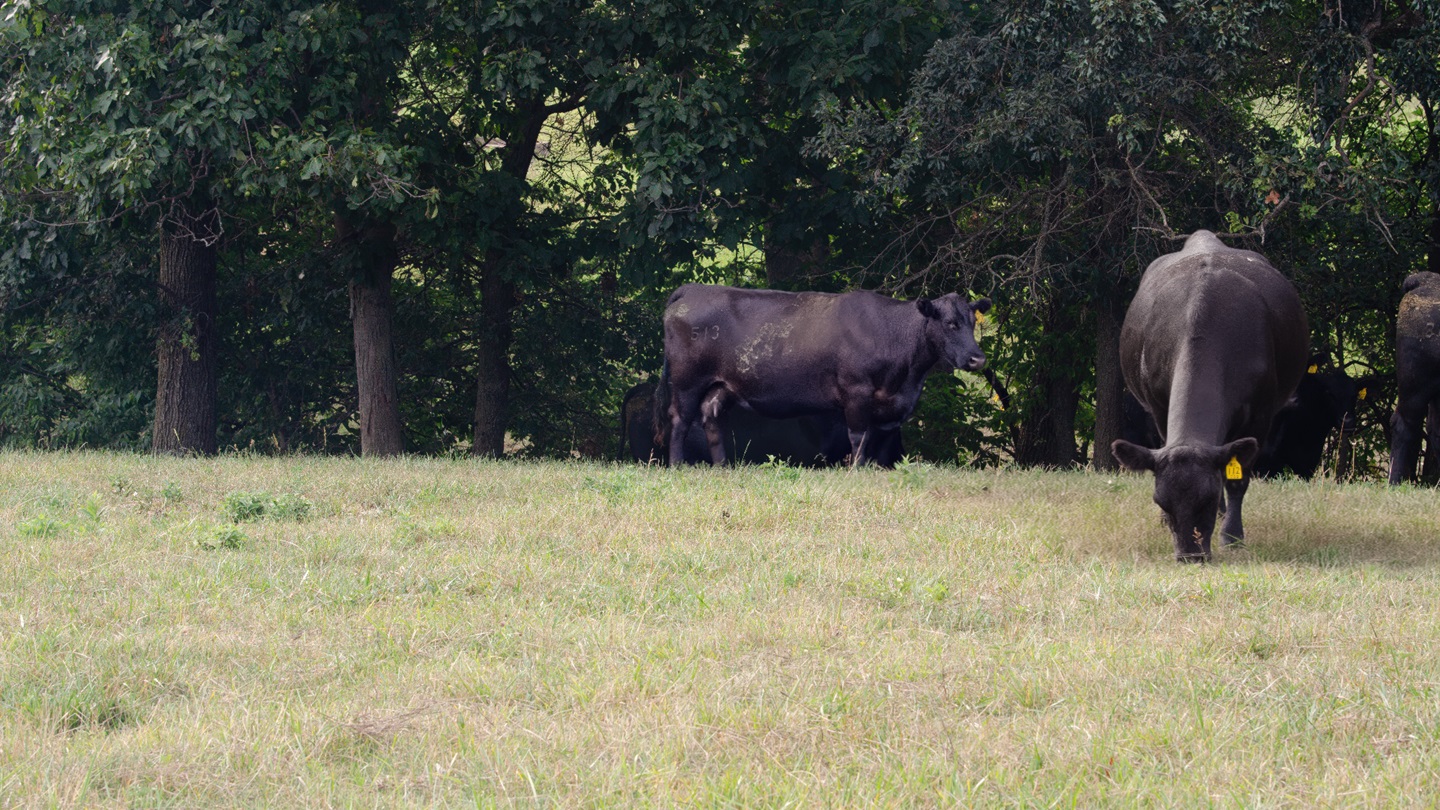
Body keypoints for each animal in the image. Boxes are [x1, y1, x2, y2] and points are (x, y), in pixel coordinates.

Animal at [660, 284, 990, 466]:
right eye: (949, 323)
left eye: (973, 322)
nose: (978, 359)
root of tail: (695, 288)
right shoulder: (856, 392)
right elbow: (858, 436)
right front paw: (856, 469)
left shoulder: (889, 407)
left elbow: (878, 441)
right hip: (687, 381)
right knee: (680, 418)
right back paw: (677, 465)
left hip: (722, 385)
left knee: (711, 417)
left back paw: (722, 466)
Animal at [1110, 230, 1309, 562]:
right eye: (1161, 501)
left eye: (1207, 498)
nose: (1190, 556)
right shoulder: (1158, 408)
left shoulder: (1261, 415)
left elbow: (1237, 478)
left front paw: (1232, 535)